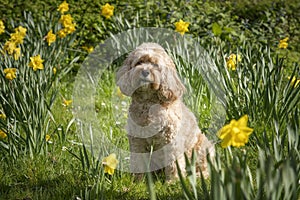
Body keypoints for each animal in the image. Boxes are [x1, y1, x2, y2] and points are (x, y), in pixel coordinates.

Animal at [116, 42, 214, 180]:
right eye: (139, 62)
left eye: (156, 65)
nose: (145, 71)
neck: (148, 104)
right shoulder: (137, 141)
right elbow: (138, 162)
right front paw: (137, 180)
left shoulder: (172, 141)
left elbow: (174, 164)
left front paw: (172, 181)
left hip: (202, 147)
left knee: (206, 169)